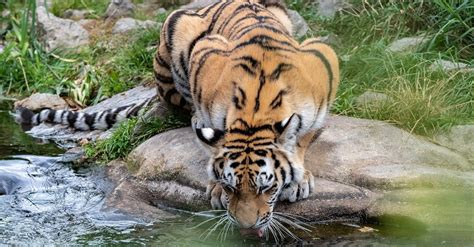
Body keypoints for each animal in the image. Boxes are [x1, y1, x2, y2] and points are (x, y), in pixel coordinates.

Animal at [154, 0, 338, 236]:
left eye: (266, 188)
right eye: (230, 187)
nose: (246, 226)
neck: (257, 114)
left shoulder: (323, 59)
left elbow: (304, 137)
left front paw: (298, 180)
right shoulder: (205, 52)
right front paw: (216, 189)